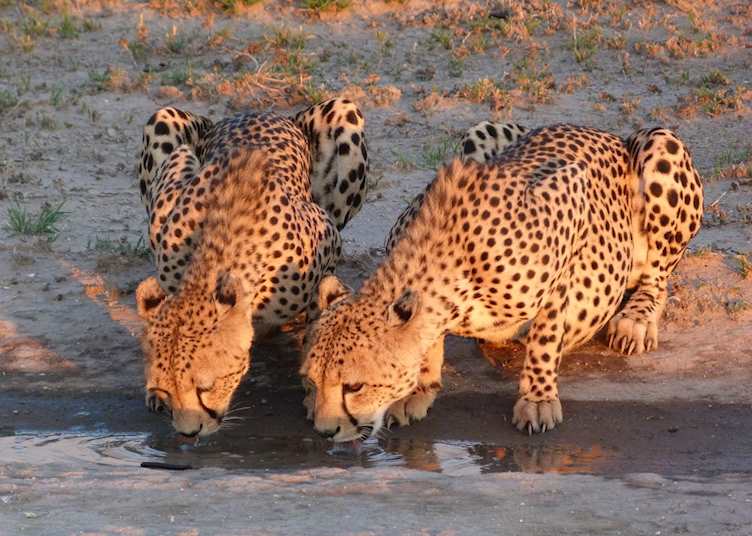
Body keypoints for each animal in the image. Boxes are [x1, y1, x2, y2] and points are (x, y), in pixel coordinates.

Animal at [133, 98, 368, 437]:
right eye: (166, 388)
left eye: (206, 387)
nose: (189, 432)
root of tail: (262, 111)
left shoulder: (329, 238)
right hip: (163, 118)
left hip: (344, 115)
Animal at [300, 122, 703, 442]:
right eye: (312, 380)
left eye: (354, 386)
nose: (324, 431)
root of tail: (607, 133)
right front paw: (419, 388)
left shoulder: (570, 204)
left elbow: (544, 337)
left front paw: (538, 398)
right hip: (480, 132)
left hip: (661, 147)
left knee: (657, 276)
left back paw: (635, 320)